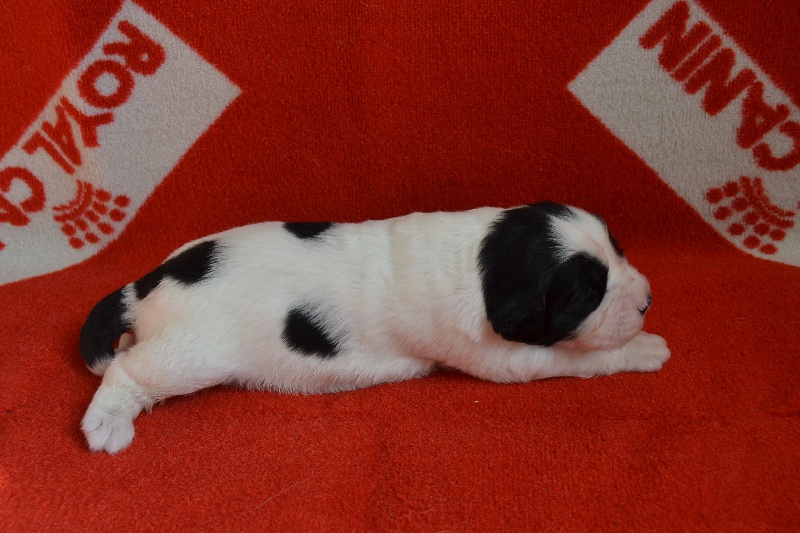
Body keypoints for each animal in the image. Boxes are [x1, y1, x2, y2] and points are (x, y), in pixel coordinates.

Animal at [80, 202, 670, 453]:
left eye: (618, 250)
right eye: (587, 294)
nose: (647, 300)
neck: (481, 259)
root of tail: (147, 283)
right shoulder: (505, 356)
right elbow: (581, 355)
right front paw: (644, 348)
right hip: (193, 352)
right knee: (130, 371)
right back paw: (108, 421)